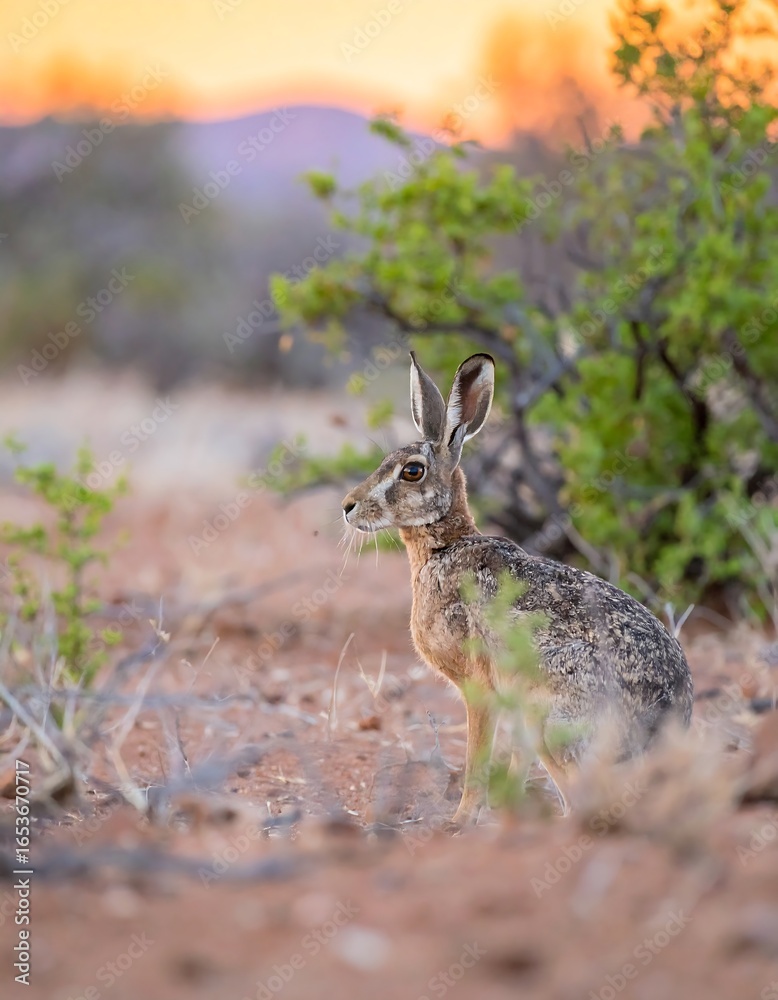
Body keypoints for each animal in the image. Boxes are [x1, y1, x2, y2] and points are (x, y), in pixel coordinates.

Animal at [342, 352, 694, 824]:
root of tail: (663, 728)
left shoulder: (479, 687)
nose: (348, 507)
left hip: (551, 716)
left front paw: (461, 822)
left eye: (412, 471)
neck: (444, 544)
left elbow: (478, 758)